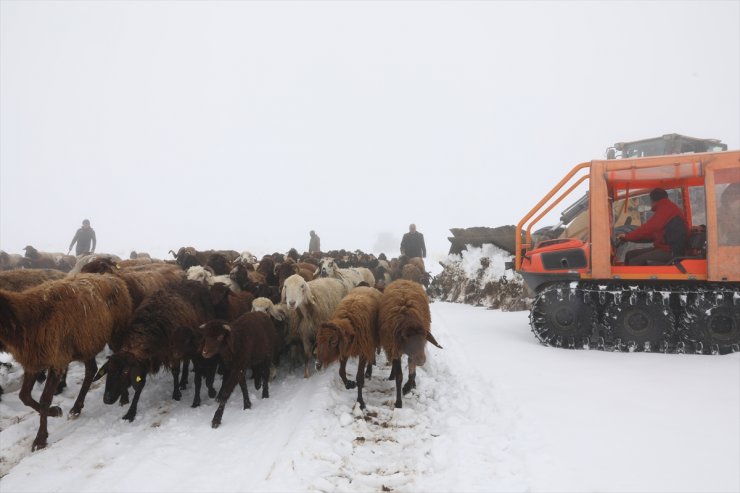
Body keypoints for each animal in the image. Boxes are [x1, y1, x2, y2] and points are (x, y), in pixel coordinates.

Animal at [0, 272, 133, 450]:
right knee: (91, 370)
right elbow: (24, 396)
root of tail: (115, 279)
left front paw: (40, 439)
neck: (24, 320)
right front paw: (55, 411)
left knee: (120, 360)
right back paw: (76, 408)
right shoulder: (33, 362)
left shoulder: (57, 360)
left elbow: (44, 400)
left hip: (117, 332)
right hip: (87, 343)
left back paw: (123, 398)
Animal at [378, 278, 442, 410]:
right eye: (407, 339)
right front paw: (398, 402)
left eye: (424, 339)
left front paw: (408, 387)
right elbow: (399, 377)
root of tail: (403, 279)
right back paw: (392, 375)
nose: (422, 361)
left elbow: (412, 373)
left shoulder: (413, 354)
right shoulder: (395, 349)